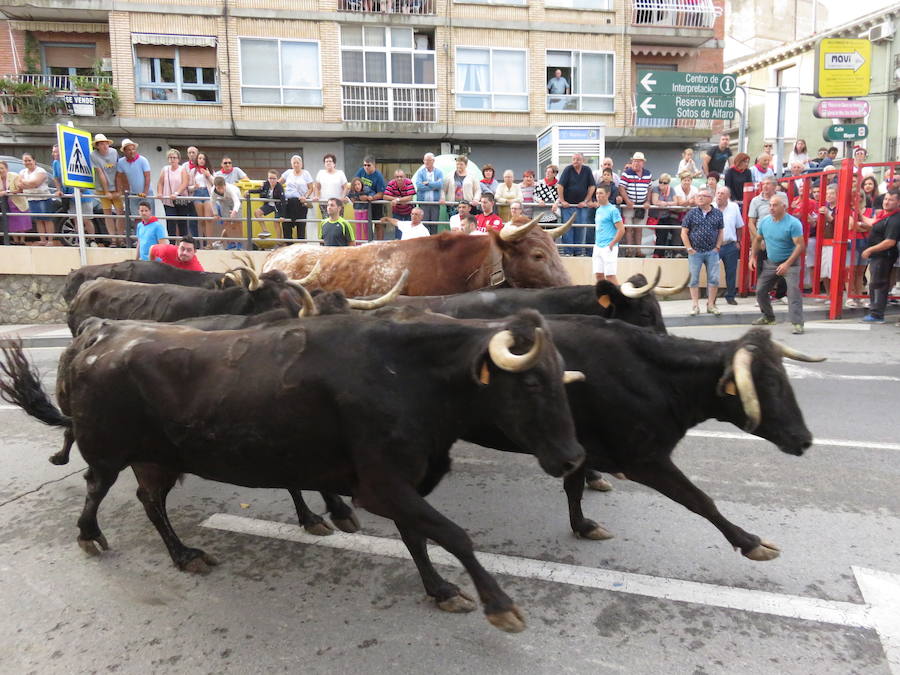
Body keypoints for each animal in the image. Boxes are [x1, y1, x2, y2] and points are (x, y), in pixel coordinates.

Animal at [0, 312, 584, 632]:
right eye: (531, 383)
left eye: (561, 378)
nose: (574, 457)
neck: (409, 375)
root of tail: (98, 333)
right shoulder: (382, 484)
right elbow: (454, 535)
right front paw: (499, 605)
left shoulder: (400, 481)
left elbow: (418, 538)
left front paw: (441, 590)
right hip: (109, 447)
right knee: (97, 487)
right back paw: (92, 535)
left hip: (157, 458)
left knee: (150, 501)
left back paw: (184, 553)